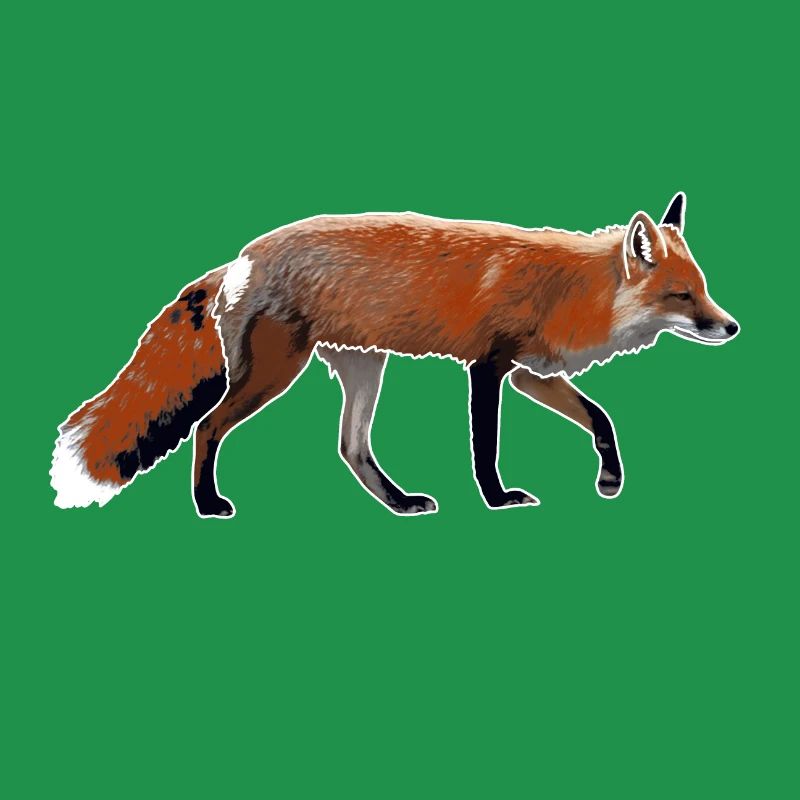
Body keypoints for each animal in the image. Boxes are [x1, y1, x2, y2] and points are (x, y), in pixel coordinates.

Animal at [50, 192, 738, 518]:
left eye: (704, 288)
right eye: (682, 295)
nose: (731, 327)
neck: (572, 291)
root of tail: (243, 257)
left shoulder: (531, 375)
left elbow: (602, 420)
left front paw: (610, 478)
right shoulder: (489, 369)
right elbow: (485, 448)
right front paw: (497, 500)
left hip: (364, 367)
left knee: (351, 448)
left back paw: (401, 504)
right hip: (276, 372)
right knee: (206, 427)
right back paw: (208, 506)